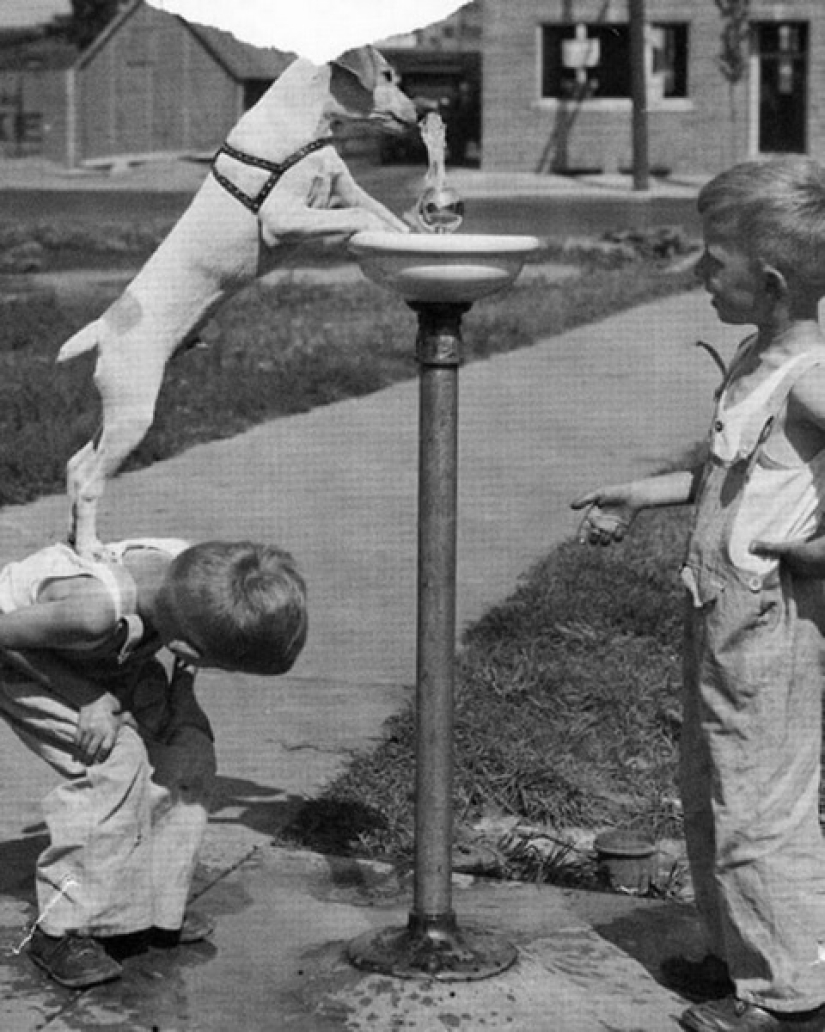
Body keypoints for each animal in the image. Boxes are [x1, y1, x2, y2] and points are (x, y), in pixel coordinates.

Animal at [58, 46, 417, 557]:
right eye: (386, 74)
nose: (420, 114)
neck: (300, 124)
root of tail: (105, 327)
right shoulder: (284, 219)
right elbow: (361, 217)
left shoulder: (343, 189)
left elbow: (381, 213)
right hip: (133, 412)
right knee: (90, 481)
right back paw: (90, 548)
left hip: (117, 411)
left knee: (76, 465)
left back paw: (74, 539)